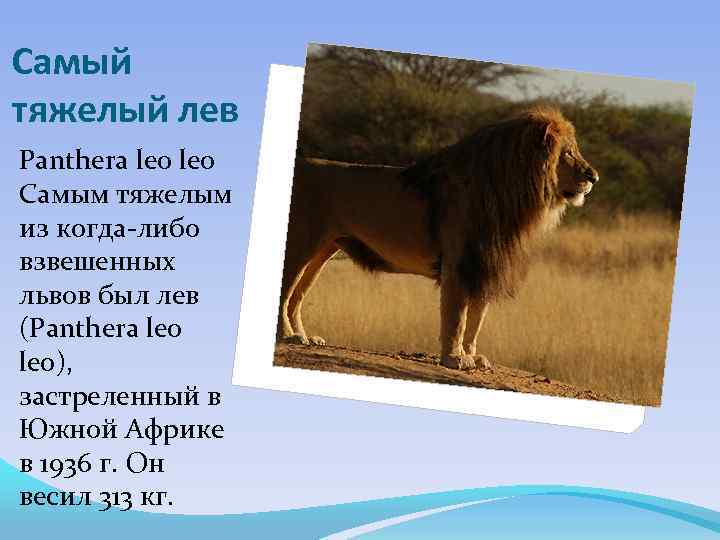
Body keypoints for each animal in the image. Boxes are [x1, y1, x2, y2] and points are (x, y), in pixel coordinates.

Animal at [277, 107, 599, 370]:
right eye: (568, 153)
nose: (594, 177)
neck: (512, 195)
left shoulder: (484, 262)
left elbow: (476, 318)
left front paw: (472, 356)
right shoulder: (459, 262)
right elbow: (456, 316)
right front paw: (454, 359)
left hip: (322, 252)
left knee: (297, 296)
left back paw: (303, 336)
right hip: (300, 244)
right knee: (285, 292)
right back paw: (288, 336)